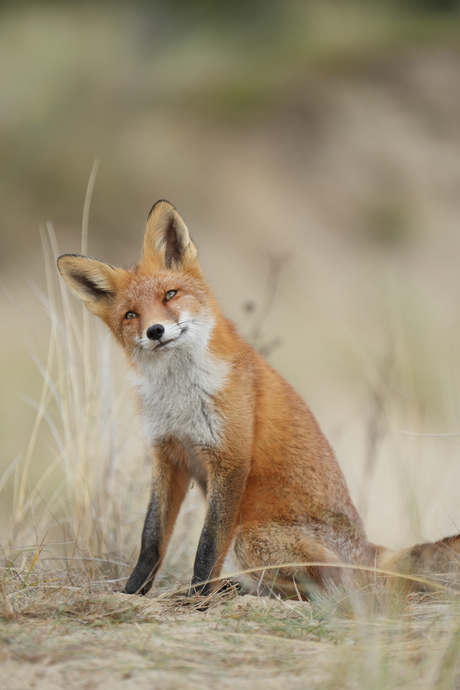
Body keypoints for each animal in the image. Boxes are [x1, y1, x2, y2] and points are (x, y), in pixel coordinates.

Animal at [56, 199, 460, 596]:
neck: (180, 398)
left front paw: (198, 596)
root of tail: (369, 551)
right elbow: (151, 539)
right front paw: (132, 592)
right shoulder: (168, 455)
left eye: (170, 295)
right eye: (130, 315)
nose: (155, 331)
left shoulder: (229, 457)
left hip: (250, 536)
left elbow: (209, 543)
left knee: (339, 589)